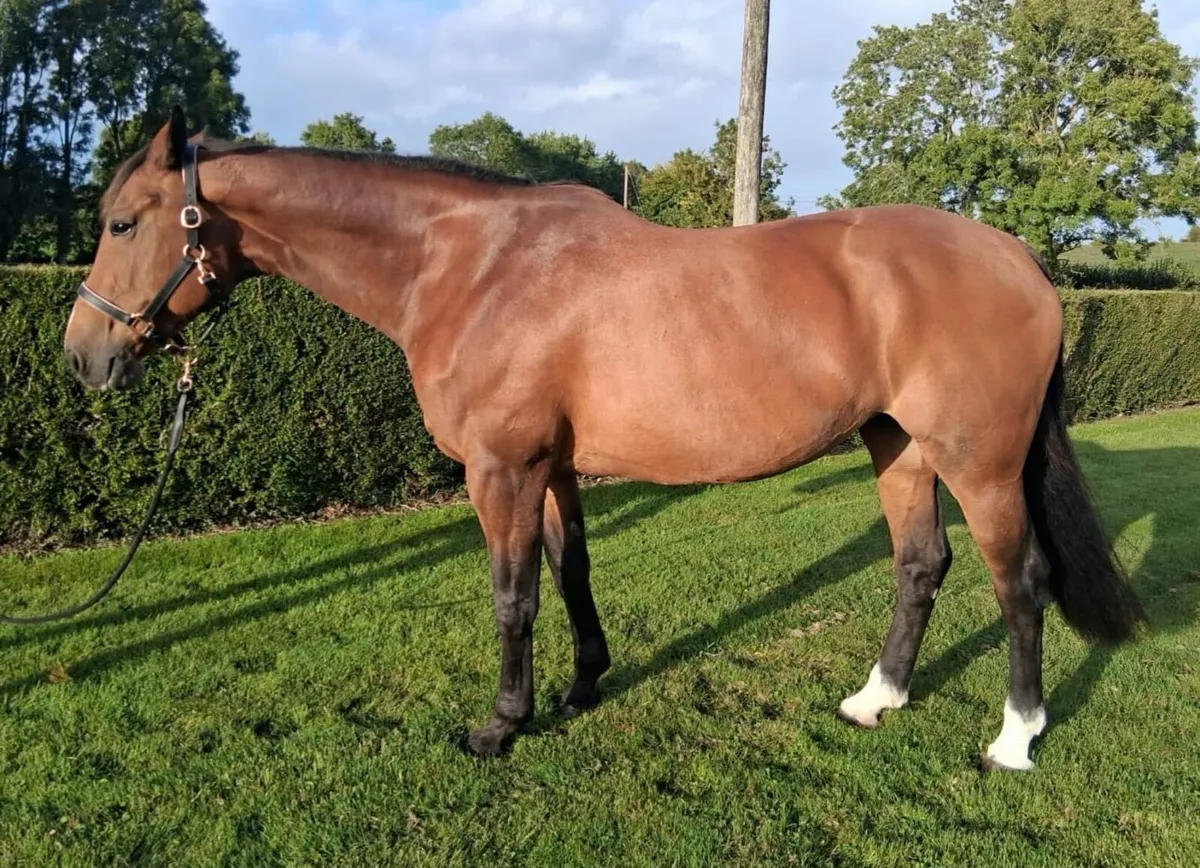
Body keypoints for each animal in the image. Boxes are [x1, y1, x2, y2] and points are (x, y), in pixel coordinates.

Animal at [63, 108, 1145, 771]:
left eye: (122, 223)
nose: (83, 356)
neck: (469, 266)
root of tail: (1020, 261)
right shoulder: (553, 468)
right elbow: (570, 568)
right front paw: (584, 683)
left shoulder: (499, 469)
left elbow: (512, 596)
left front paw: (500, 726)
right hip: (898, 448)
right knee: (921, 565)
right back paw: (875, 700)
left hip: (981, 462)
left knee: (1020, 583)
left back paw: (1014, 739)